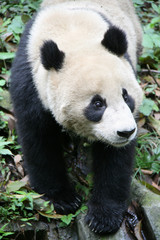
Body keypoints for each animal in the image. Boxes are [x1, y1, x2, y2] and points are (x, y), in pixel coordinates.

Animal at [10, 0, 142, 234]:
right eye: (97, 104)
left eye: (126, 96)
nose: (125, 132)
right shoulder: (30, 82)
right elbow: (39, 141)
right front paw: (63, 199)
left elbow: (115, 159)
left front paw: (103, 217)